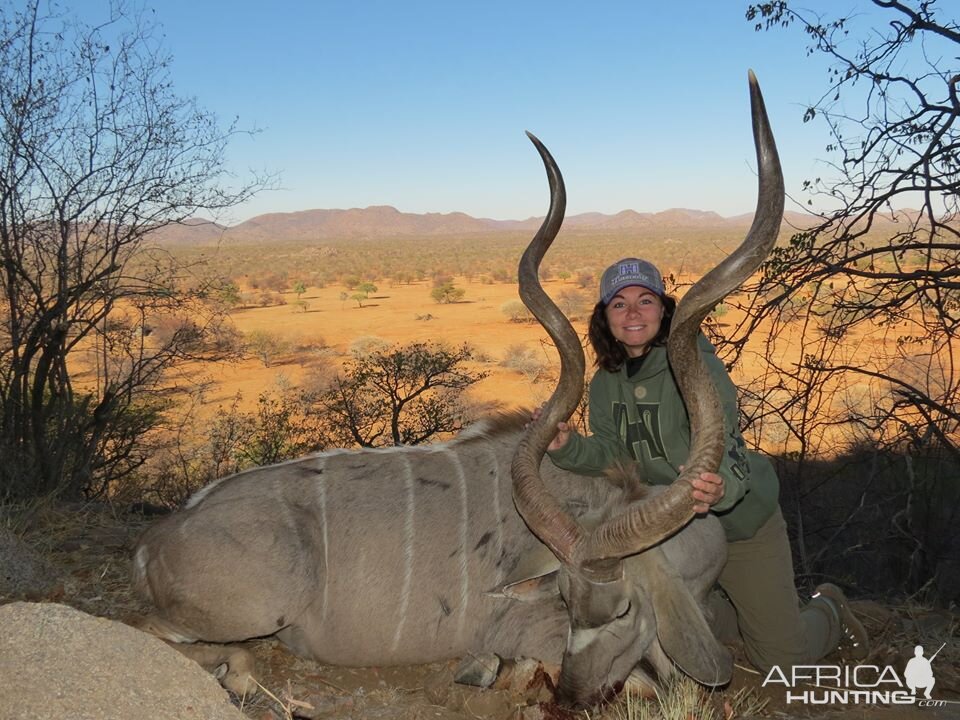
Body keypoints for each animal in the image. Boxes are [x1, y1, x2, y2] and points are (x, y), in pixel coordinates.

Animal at [133, 73, 780, 708]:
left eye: (622, 610)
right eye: (569, 604)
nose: (572, 699)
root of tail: (158, 539)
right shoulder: (523, 627)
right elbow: (637, 676)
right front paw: (492, 670)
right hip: (248, 611)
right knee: (163, 635)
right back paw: (246, 676)